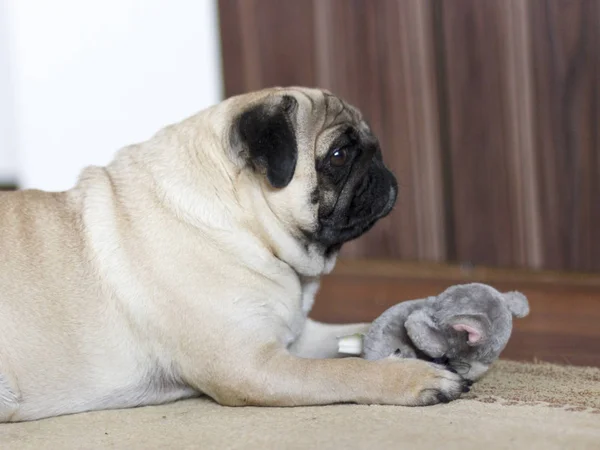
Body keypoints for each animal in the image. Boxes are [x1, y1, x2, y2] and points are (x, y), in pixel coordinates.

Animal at [0, 87, 468, 422]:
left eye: (374, 144)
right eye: (338, 156)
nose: (382, 166)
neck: (247, 228)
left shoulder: (298, 334)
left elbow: (359, 329)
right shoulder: (251, 366)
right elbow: (344, 371)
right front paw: (415, 376)